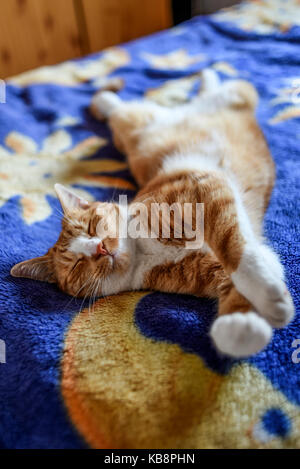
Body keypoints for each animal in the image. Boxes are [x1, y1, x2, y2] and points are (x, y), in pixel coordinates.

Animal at [11, 69, 292, 356]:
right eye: (77, 263)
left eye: (91, 227)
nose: (99, 248)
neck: (145, 251)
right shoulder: (209, 267)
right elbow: (237, 287)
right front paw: (242, 325)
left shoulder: (204, 188)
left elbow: (237, 250)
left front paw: (265, 292)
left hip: (141, 123)